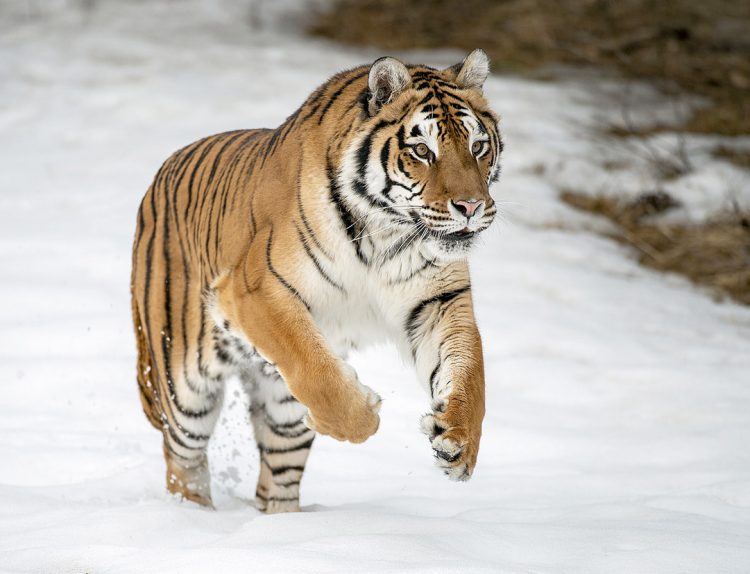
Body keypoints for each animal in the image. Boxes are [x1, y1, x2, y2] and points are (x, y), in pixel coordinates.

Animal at [132, 49, 506, 516]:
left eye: (478, 146)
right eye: (422, 150)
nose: (471, 207)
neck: (386, 231)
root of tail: (159, 175)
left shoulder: (438, 301)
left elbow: (469, 372)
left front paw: (458, 443)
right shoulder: (257, 289)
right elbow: (315, 369)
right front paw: (365, 417)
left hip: (281, 409)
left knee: (277, 476)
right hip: (183, 385)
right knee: (183, 459)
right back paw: (191, 515)